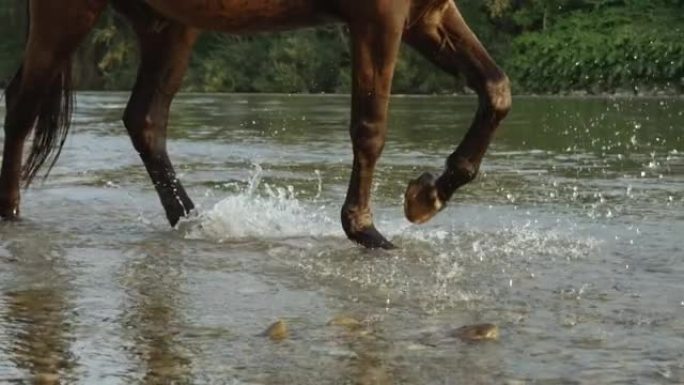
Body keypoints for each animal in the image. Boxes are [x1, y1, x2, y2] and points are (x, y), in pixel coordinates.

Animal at [0, 0, 510, 249]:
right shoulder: (380, 18)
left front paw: (429, 195)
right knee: (23, 106)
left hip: (169, 26)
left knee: (144, 121)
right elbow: (369, 127)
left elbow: (496, 91)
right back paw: (10, 213)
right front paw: (364, 229)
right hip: (67, 15)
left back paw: (193, 220)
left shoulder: (429, 14)